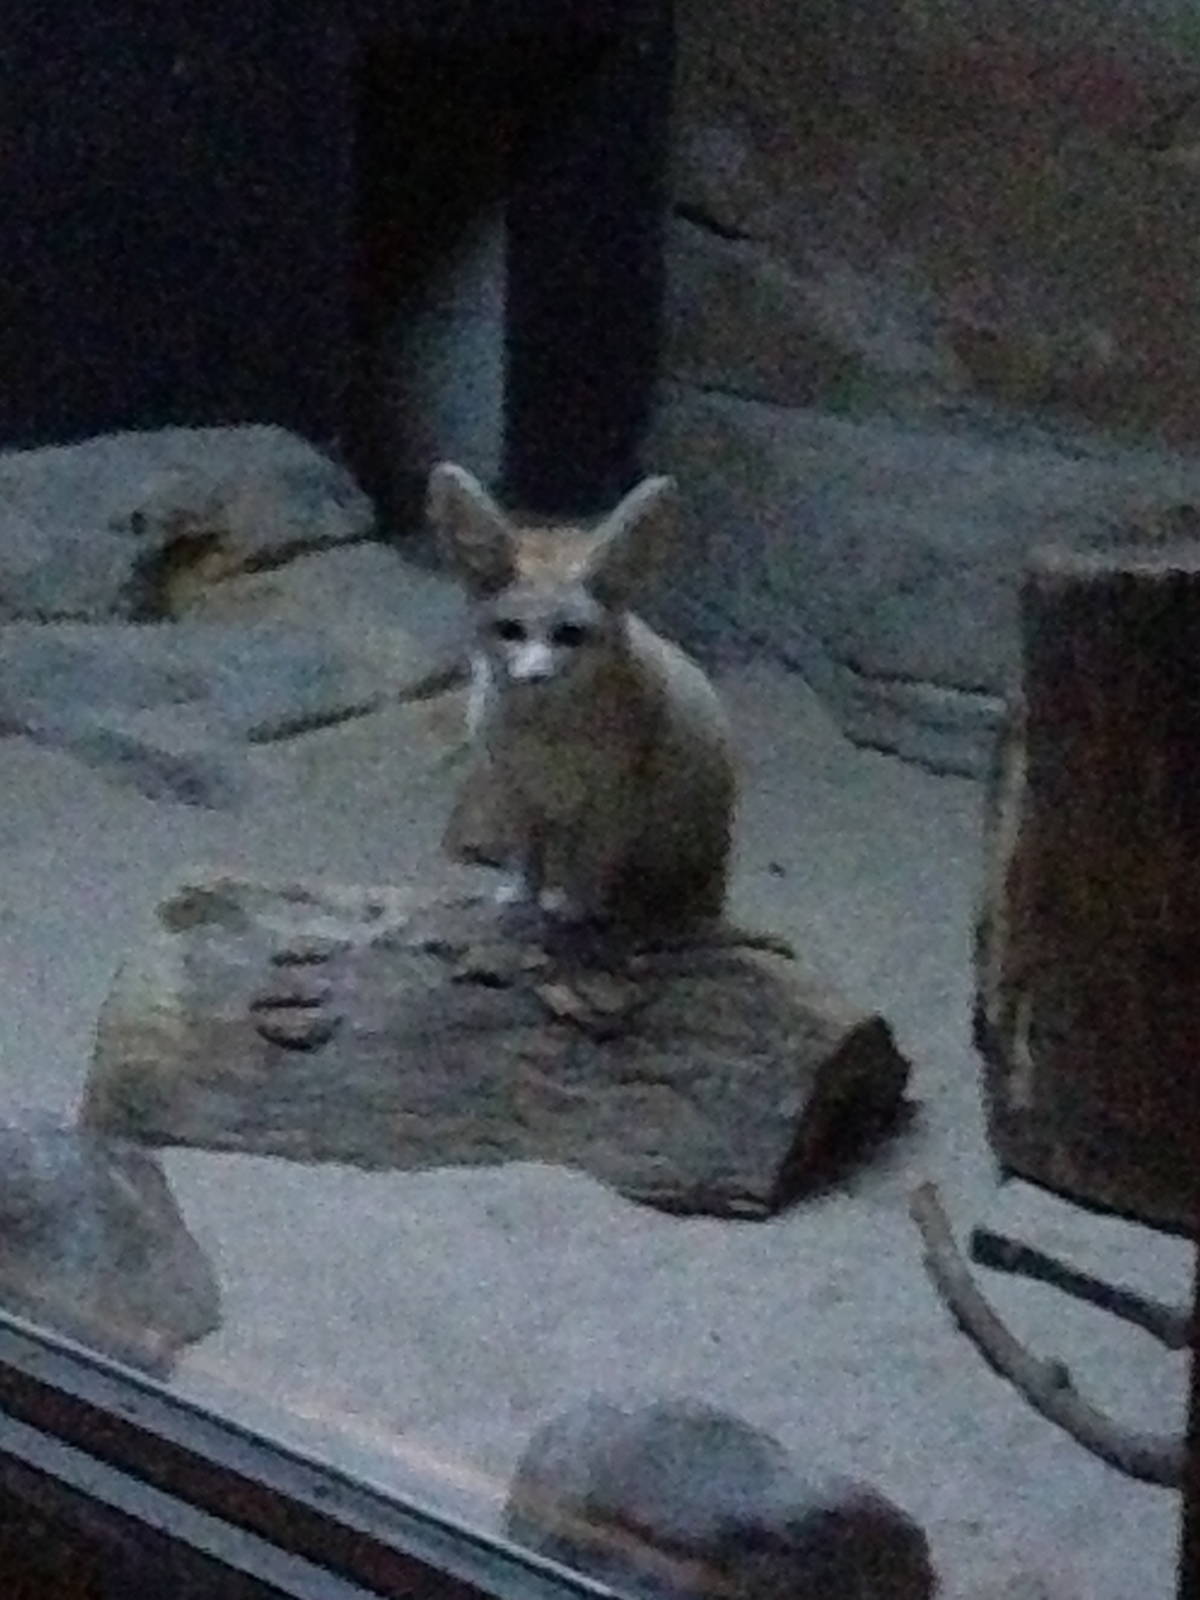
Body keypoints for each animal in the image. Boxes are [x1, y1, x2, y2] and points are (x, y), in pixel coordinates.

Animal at [428, 462, 737, 935]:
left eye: (570, 634)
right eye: (510, 631)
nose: (534, 675)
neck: (546, 734)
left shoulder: (612, 799)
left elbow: (590, 860)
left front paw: (575, 907)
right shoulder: (513, 785)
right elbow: (526, 854)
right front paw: (521, 896)